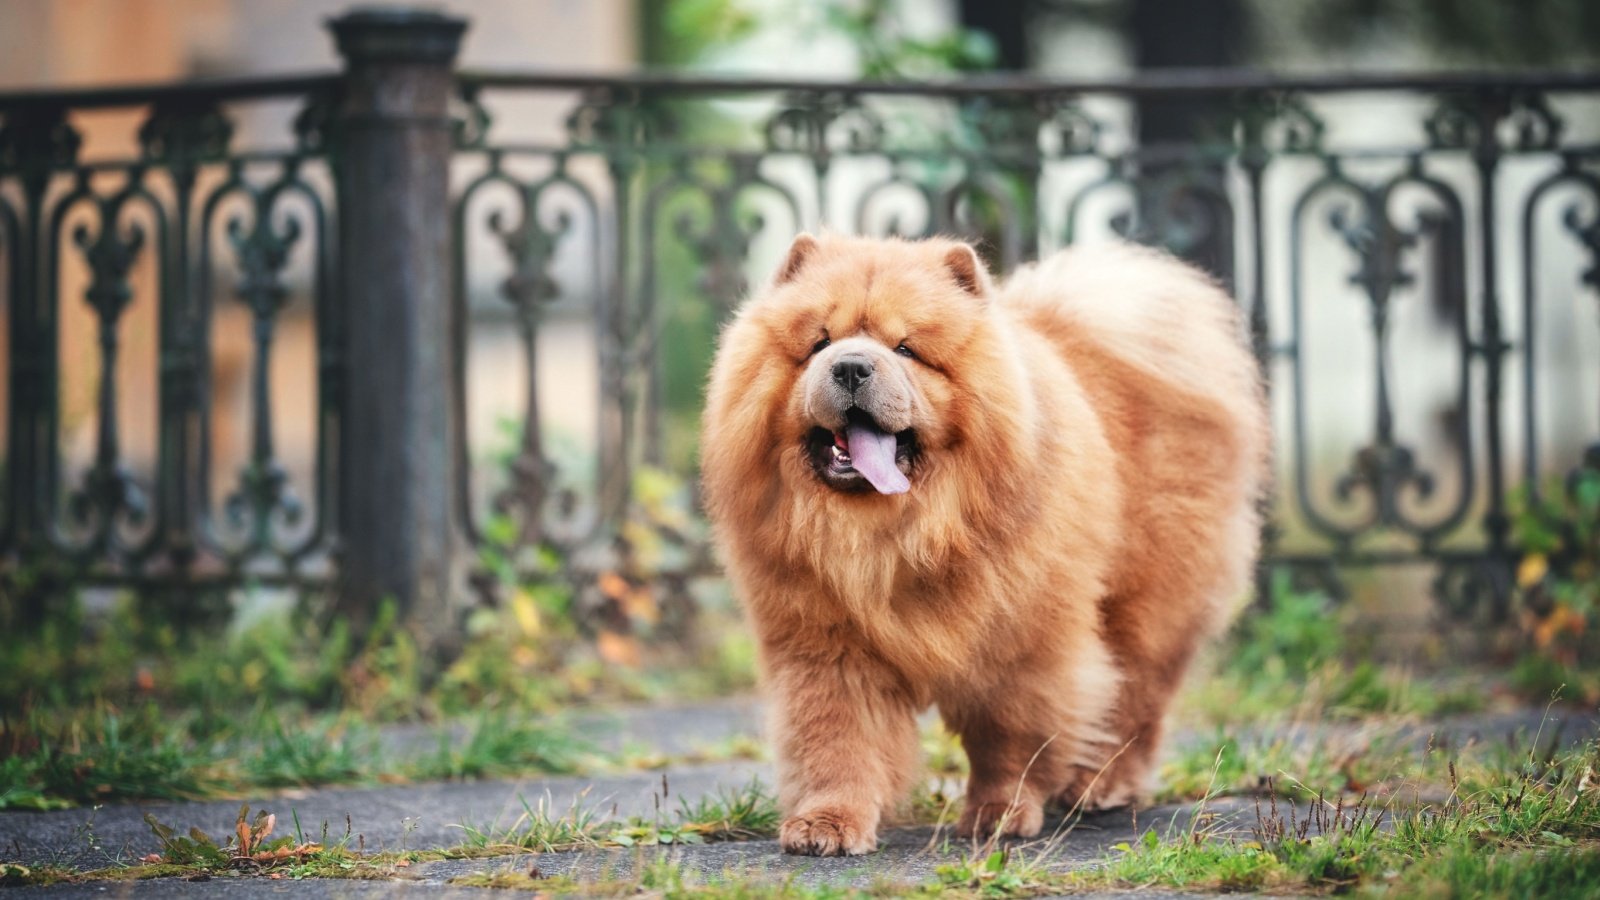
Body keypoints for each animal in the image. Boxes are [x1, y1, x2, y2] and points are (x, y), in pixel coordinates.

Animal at [700, 232, 1260, 851]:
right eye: (819, 343)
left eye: (905, 349)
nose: (849, 366)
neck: (892, 533)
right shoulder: (828, 645)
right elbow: (837, 739)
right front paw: (828, 823)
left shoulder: (1019, 643)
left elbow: (1009, 735)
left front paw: (1000, 814)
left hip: (1145, 603)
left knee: (1135, 700)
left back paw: (1100, 786)